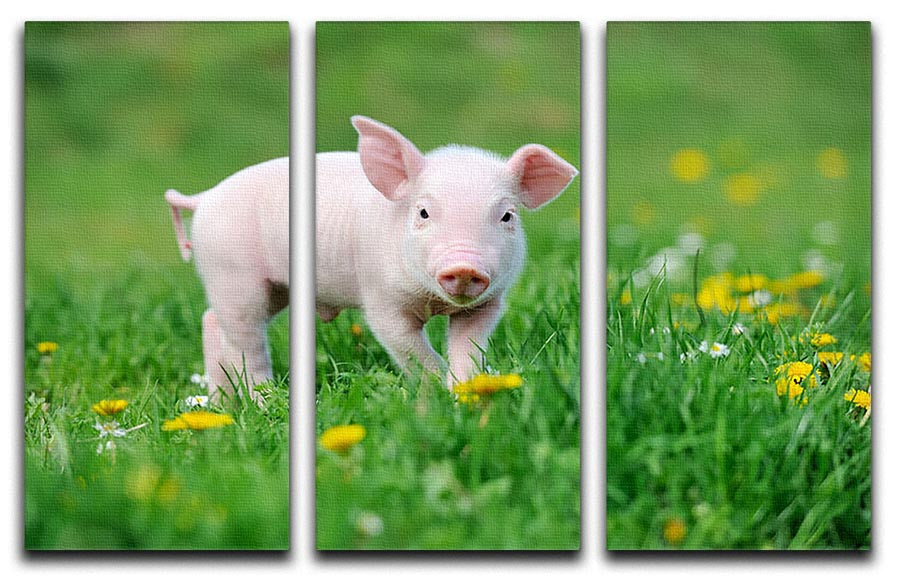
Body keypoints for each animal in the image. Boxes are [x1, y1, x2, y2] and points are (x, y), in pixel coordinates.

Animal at [165, 157, 289, 403]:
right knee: (242, 348)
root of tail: (203, 197)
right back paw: (266, 402)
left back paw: (222, 405)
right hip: (236, 281)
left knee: (213, 322)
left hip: (272, 289)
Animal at [316, 116, 577, 386]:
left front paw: (466, 386)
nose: (464, 267)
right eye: (423, 212)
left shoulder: (487, 304)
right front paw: (437, 387)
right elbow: (411, 349)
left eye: (507, 215)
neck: (434, 303)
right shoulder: (382, 298)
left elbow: (468, 345)